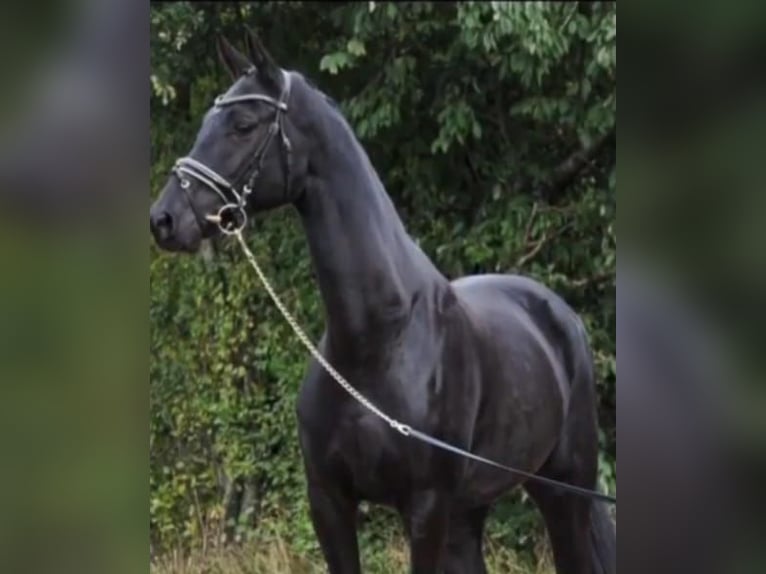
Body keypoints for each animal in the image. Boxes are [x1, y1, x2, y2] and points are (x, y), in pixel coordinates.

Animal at [150, 32, 616, 574]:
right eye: (207, 121)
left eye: (243, 125)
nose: (164, 219)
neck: (380, 338)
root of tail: (560, 315)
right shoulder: (329, 502)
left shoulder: (426, 507)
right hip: (469, 513)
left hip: (564, 493)